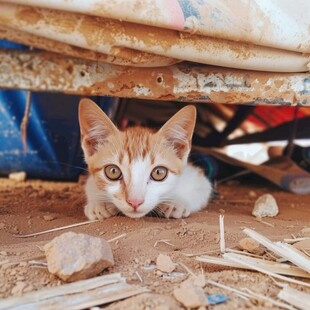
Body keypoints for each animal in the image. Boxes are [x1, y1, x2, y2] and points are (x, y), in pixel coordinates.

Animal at [78, 98, 212, 219]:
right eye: (113, 171)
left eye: (159, 172)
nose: (135, 202)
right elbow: (90, 185)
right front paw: (99, 203)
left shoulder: (198, 180)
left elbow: (200, 190)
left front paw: (175, 202)